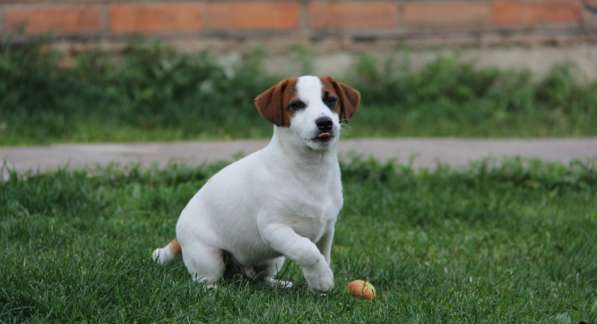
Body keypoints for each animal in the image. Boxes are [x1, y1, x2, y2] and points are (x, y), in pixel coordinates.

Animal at [152, 75, 358, 292]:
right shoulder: (274, 228)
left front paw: (319, 282)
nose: (325, 123)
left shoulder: (327, 229)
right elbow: (306, 250)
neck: (311, 170)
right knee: (204, 280)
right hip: (208, 257)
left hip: (273, 260)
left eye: (331, 100)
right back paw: (214, 290)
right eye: (296, 105)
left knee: (261, 277)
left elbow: (323, 255)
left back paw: (278, 284)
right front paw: (322, 279)